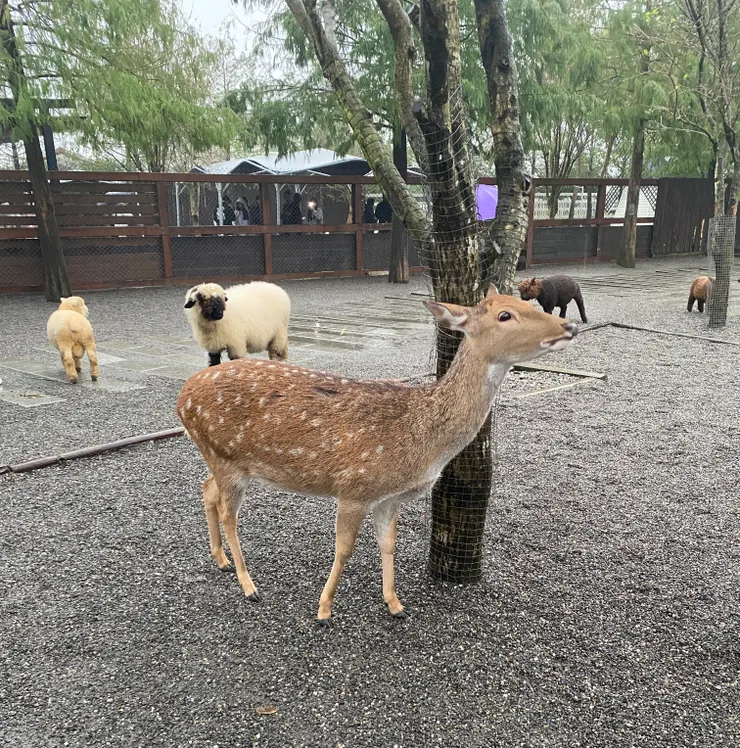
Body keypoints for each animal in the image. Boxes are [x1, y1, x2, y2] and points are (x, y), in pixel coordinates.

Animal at [176, 286, 578, 626]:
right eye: (505, 315)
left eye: (524, 301)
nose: (569, 325)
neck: (423, 438)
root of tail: (182, 397)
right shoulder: (354, 486)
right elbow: (344, 549)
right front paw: (324, 610)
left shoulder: (389, 496)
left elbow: (388, 543)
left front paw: (395, 604)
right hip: (226, 456)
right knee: (228, 513)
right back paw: (249, 585)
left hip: (220, 457)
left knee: (206, 489)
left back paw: (221, 560)